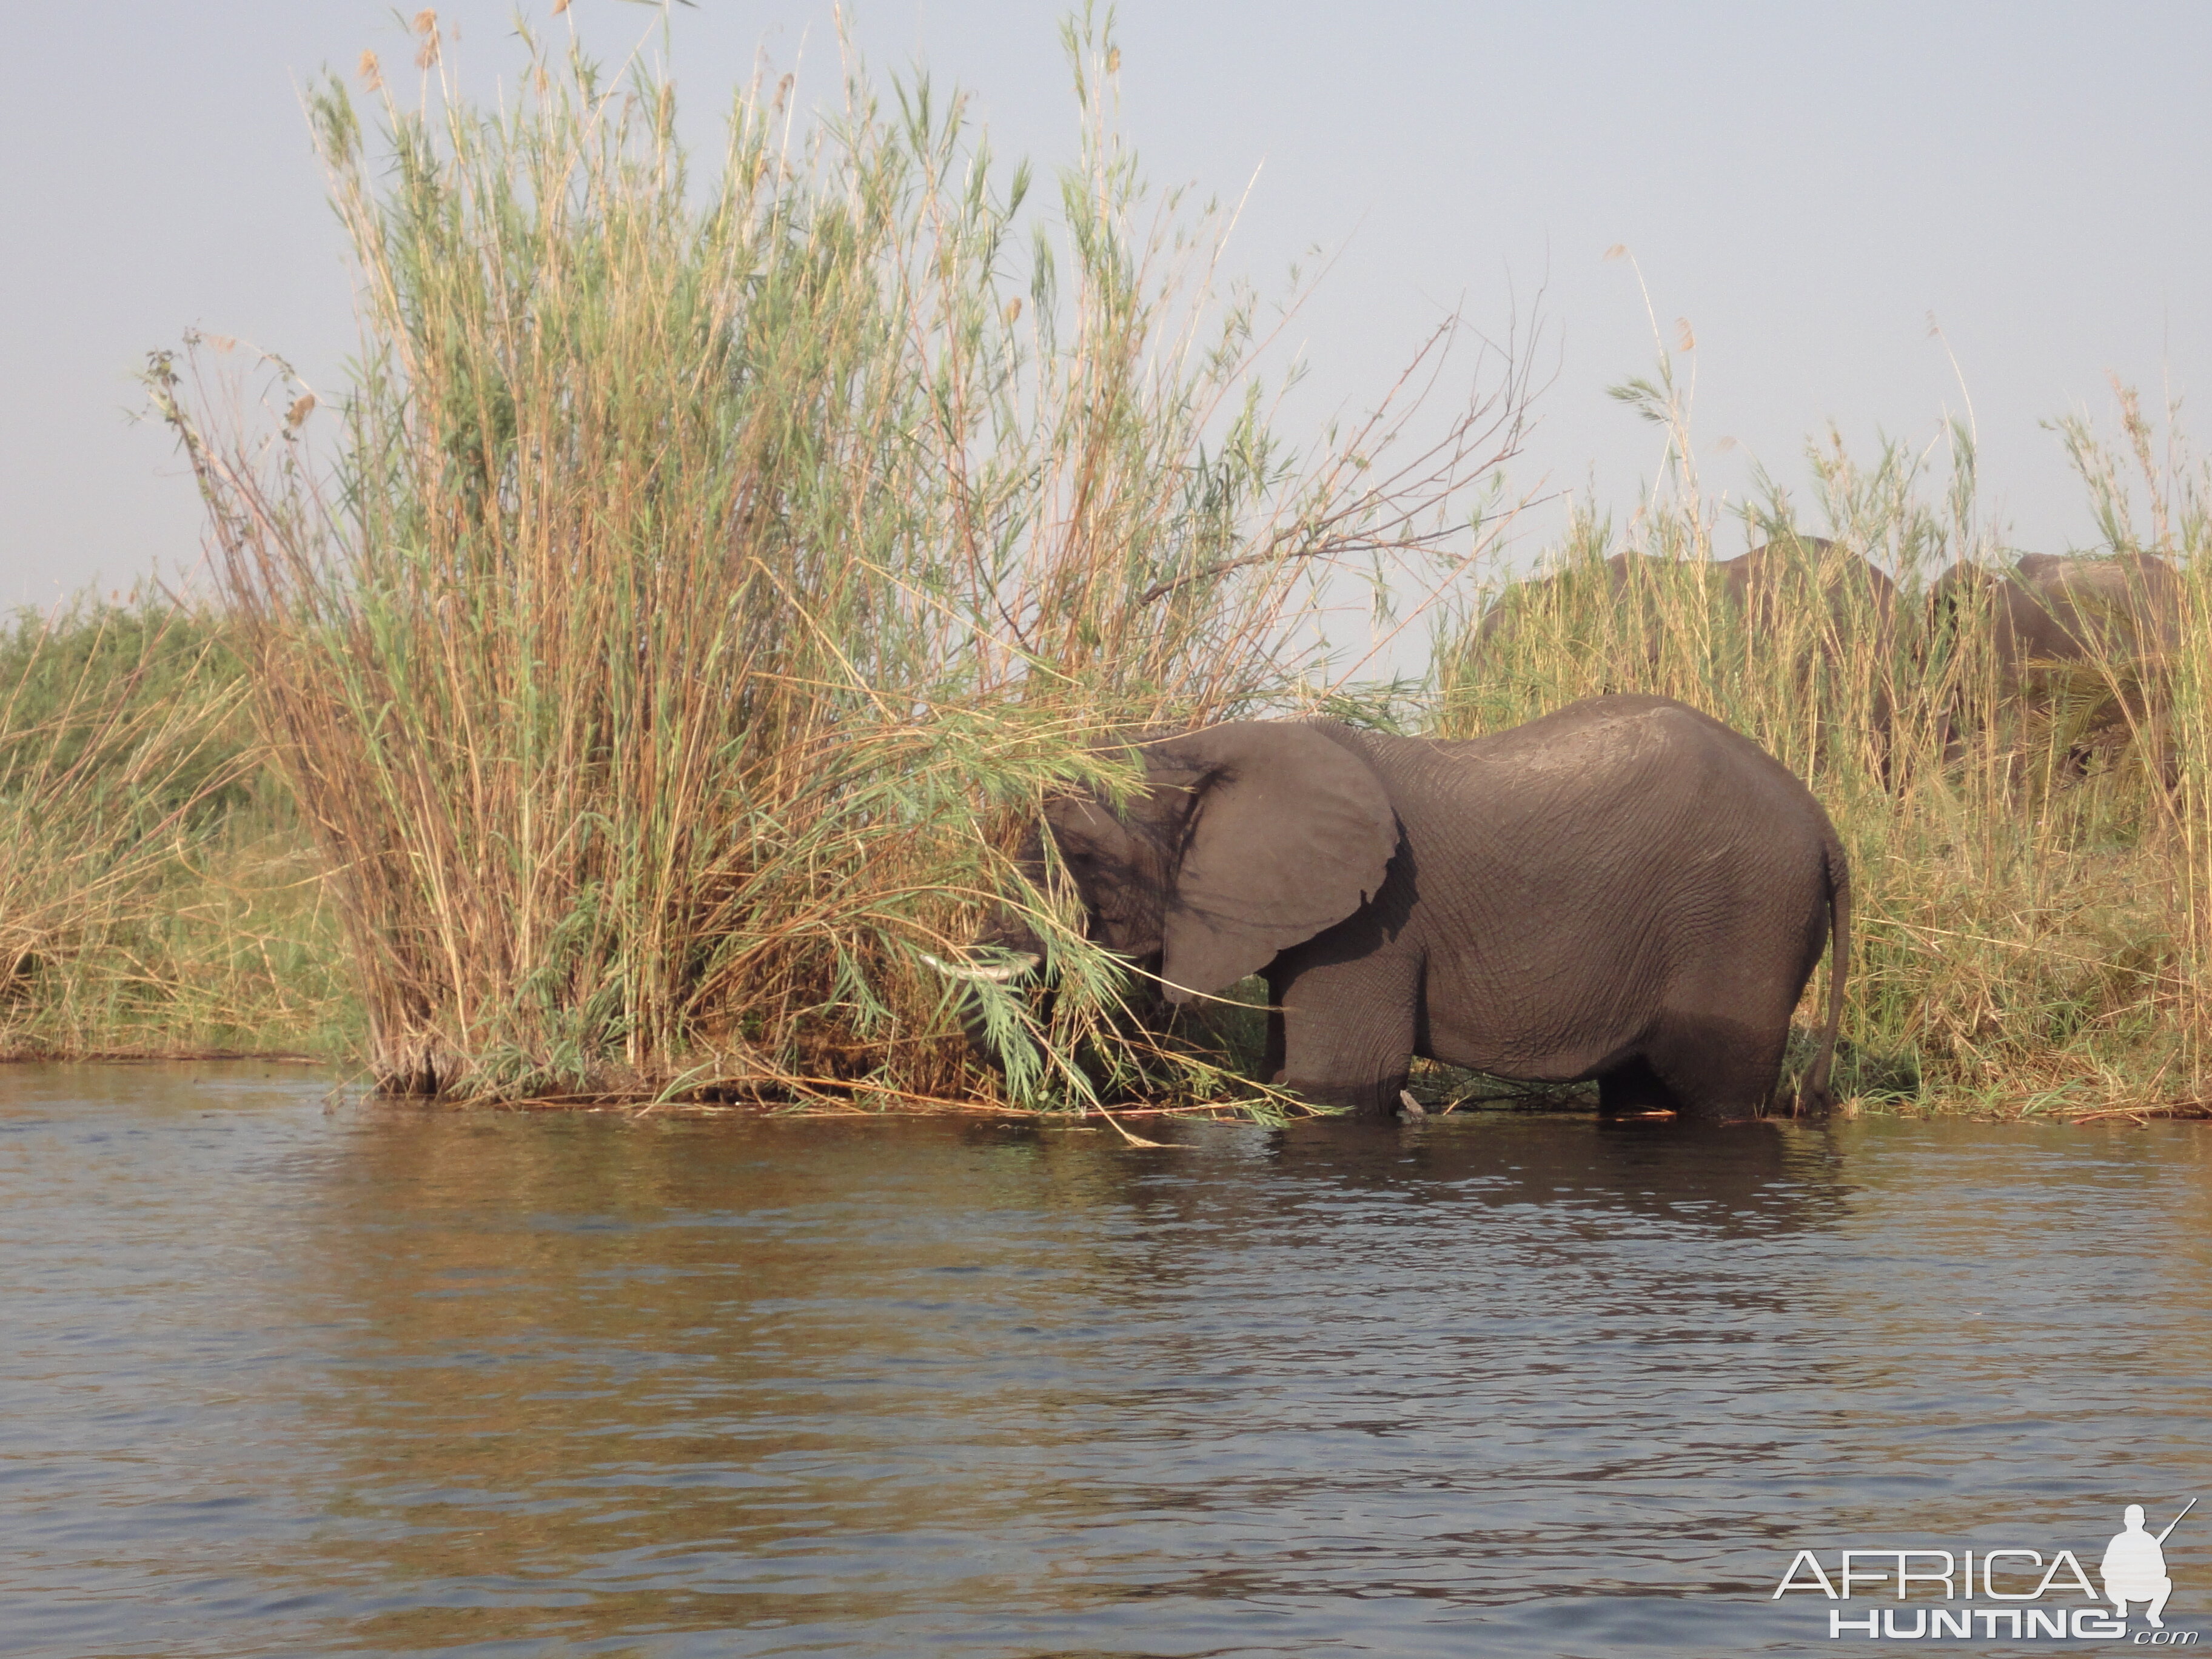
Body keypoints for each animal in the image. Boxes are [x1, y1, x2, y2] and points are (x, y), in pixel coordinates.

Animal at [947, 694, 1849, 1124]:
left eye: (1081, 851)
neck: (1197, 745)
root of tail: (1827, 829)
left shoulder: (1374, 922)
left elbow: (1334, 1080)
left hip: (1744, 921)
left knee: (1717, 1090)